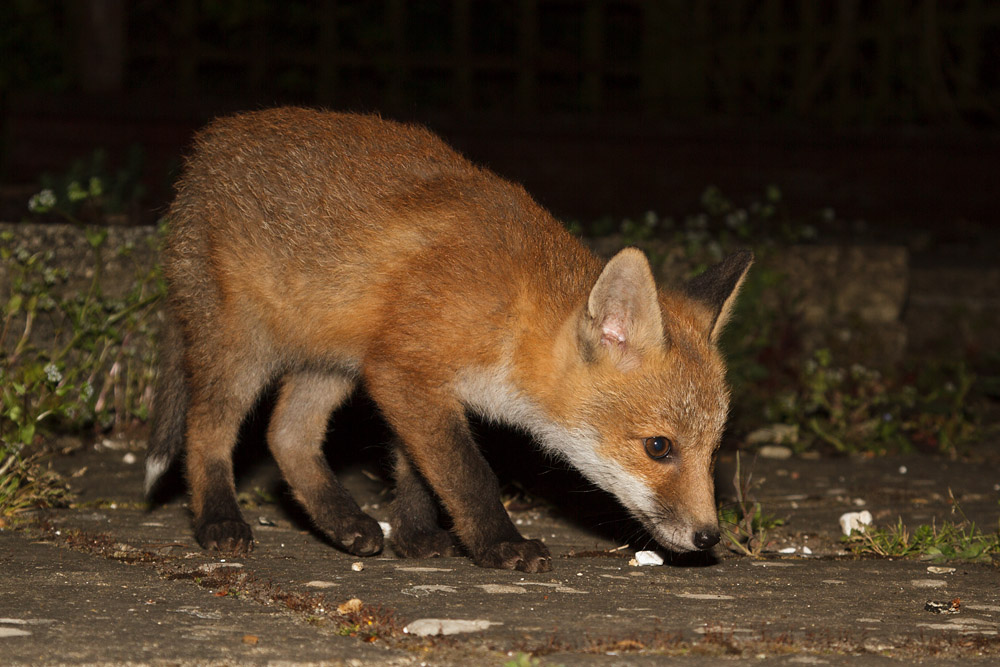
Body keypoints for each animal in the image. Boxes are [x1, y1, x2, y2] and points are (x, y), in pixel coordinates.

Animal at [144, 107, 752, 573]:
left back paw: (344, 522)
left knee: (285, 434)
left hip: (334, 364)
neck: (513, 311)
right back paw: (219, 520)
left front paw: (414, 537)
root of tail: (207, 144)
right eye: (659, 447)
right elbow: (466, 473)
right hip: (241, 350)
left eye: (713, 449)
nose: (709, 537)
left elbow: (418, 471)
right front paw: (500, 544)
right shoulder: (406, 373)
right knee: (208, 431)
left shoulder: (406, 375)